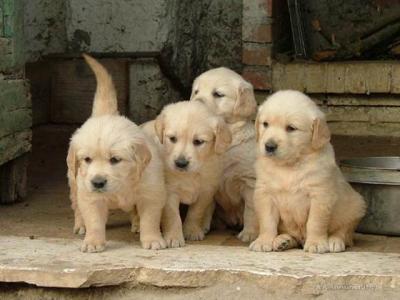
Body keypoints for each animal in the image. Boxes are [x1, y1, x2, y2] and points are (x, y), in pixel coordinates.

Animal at [66, 54, 166, 253]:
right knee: (77, 205)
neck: (123, 183)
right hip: (74, 181)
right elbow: (94, 220)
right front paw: (93, 241)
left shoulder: (151, 193)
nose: (98, 182)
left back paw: (136, 224)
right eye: (87, 159)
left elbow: (150, 220)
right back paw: (80, 225)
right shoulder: (91, 197)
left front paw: (152, 239)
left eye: (115, 159)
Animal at [143, 101, 231, 246]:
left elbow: (196, 213)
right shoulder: (170, 192)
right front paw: (174, 237)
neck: (191, 174)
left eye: (198, 142)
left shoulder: (206, 191)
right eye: (172, 139)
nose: (181, 163)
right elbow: (173, 216)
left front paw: (192, 231)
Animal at [191, 67, 260, 243]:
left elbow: (251, 210)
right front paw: (200, 227)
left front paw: (249, 233)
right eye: (196, 92)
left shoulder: (249, 181)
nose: (195, 103)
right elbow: (205, 206)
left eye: (218, 94)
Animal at [250, 89, 366, 253]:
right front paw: (263, 241)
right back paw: (283, 240)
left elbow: (315, 223)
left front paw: (316, 243)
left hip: (356, 207)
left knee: (344, 232)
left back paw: (334, 241)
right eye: (265, 124)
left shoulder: (320, 195)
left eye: (291, 128)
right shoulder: (264, 194)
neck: (290, 165)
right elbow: (267, 221)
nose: (269, 146)